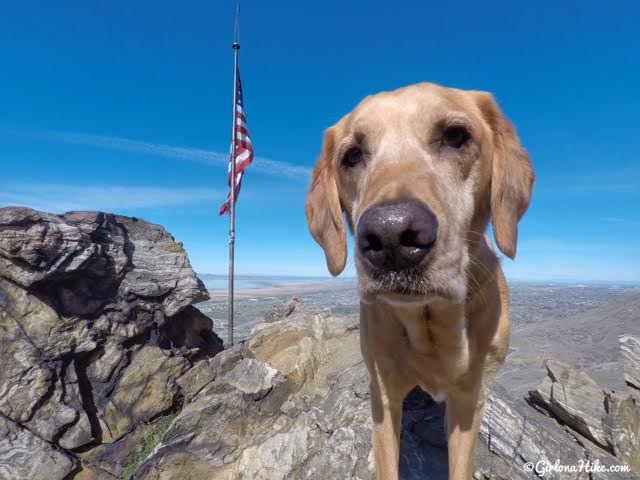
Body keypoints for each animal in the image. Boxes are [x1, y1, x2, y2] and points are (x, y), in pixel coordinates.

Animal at [304, 83, 536, 480]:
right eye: (352, 156)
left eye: (456, 136)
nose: (391, 237)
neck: (430, 323)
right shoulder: (383, 395)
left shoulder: (467, 401)